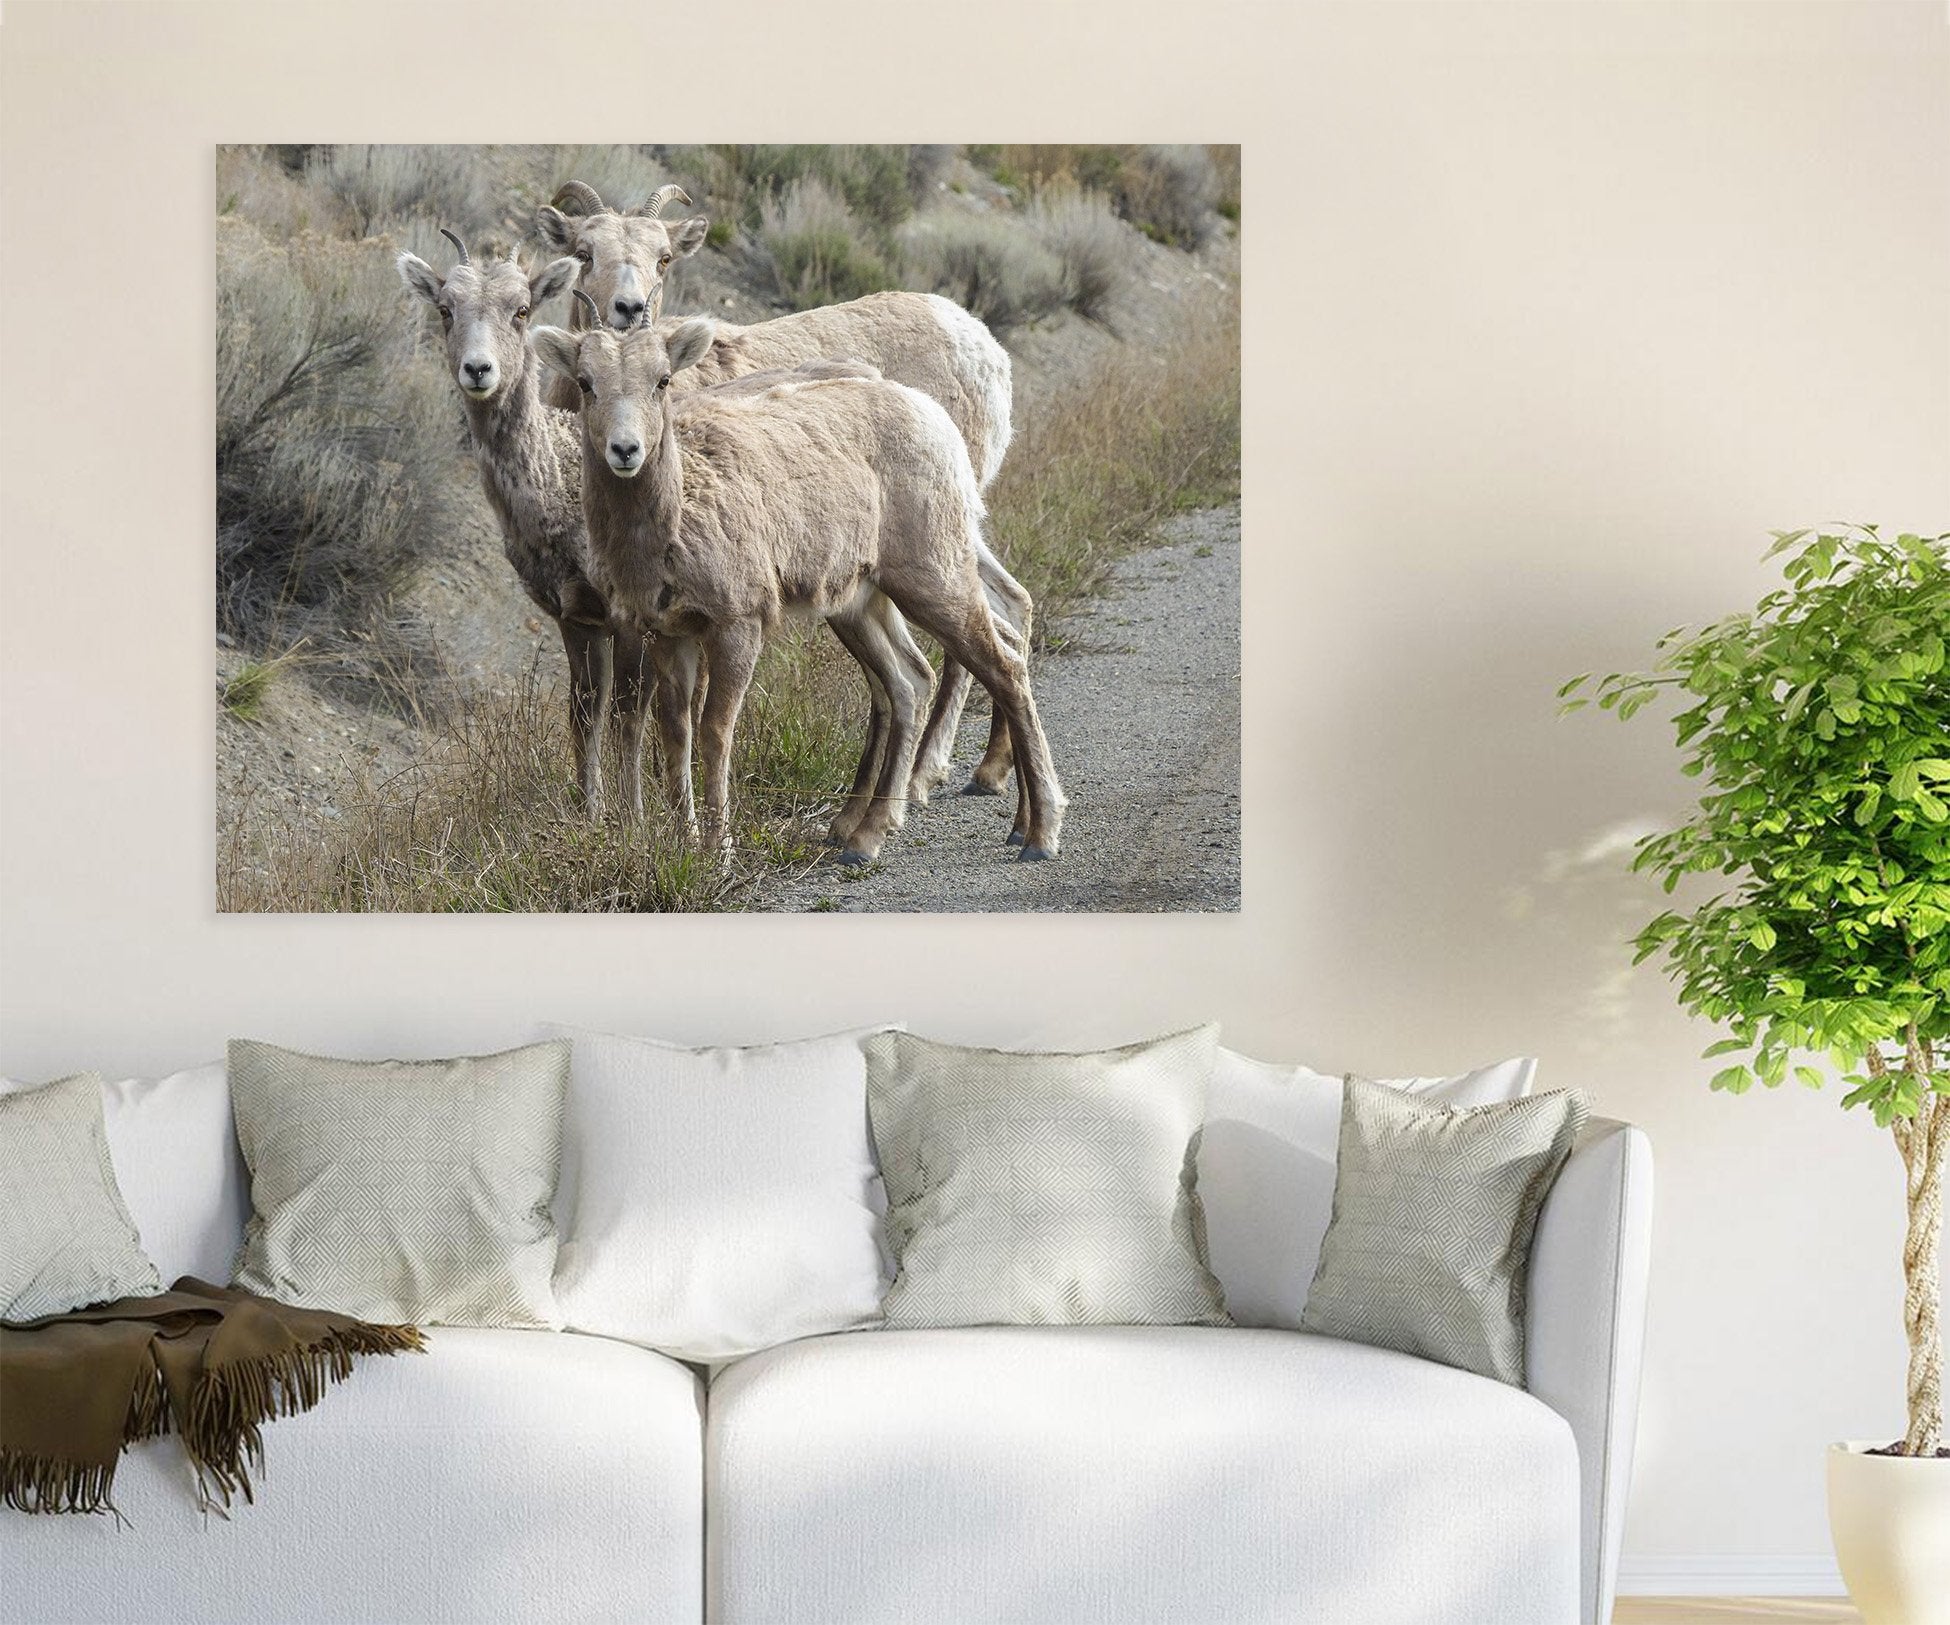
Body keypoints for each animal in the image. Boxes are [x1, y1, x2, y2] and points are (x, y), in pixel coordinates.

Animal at [531, 316, 1066, 866]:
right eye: (585, 383)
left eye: (662, 380)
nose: (625, 450)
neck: (671, 525)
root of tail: (935, 418)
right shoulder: (669, 633)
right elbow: (676, 733)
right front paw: (685, 843)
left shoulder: (738, 624)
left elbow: (715, 732)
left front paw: (718, 850)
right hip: (860, 602)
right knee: (910, 681)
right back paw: (867, 837)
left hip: (934, 578)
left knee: (1004, 668)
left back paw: (1038, 833)